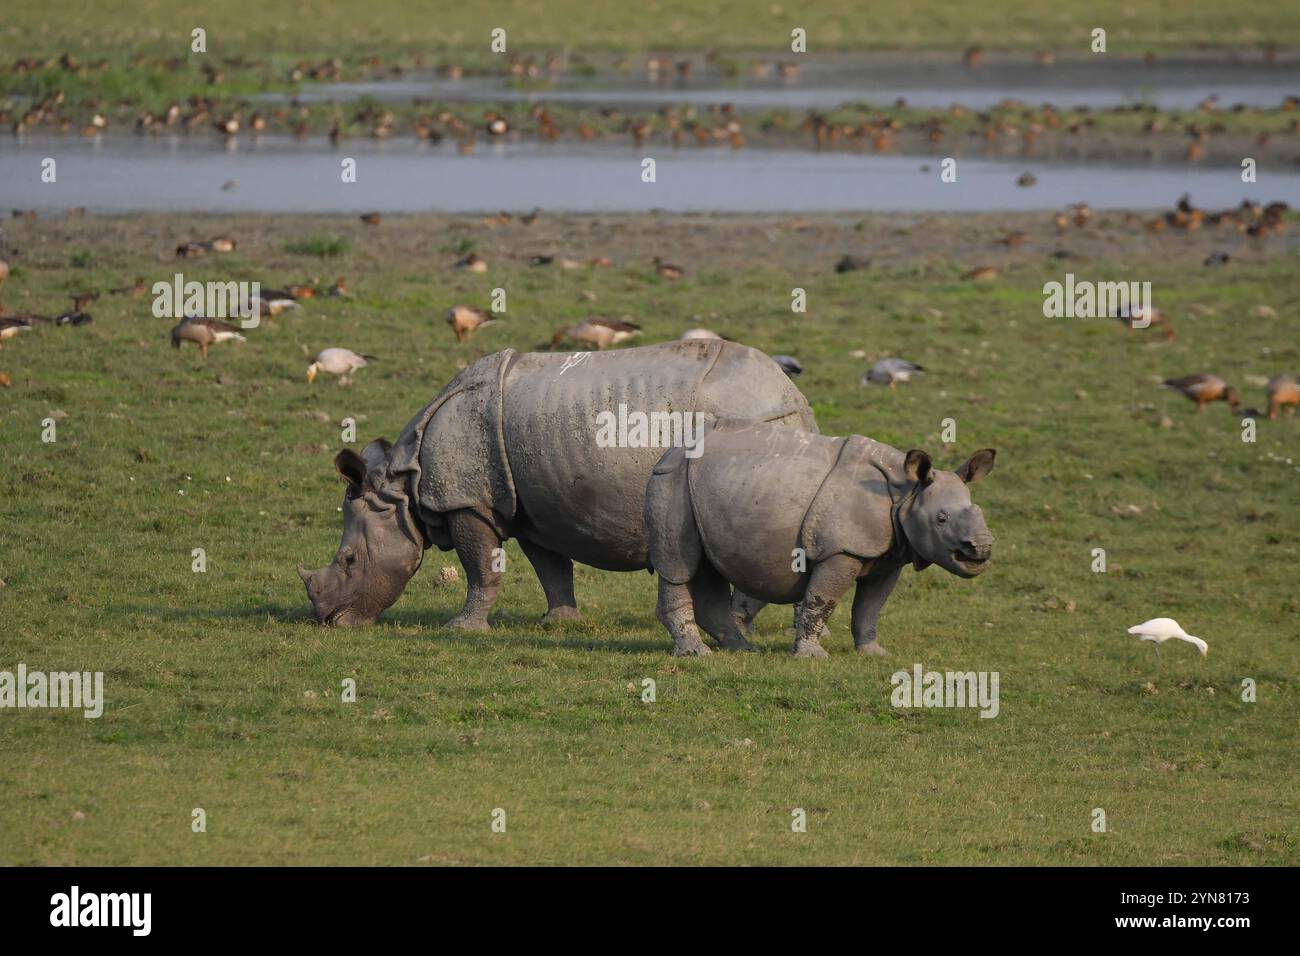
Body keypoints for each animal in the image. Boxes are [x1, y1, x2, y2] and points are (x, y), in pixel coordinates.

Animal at [299, 340, 816, 632]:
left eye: (349, 561)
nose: (327, 622)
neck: (403, 484)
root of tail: (792, 397)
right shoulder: (531, 506)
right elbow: (551, 568)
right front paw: (559, 623)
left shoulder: (467, 502)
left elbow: (480, 569)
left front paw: (460, 629)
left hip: (748, 426)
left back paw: (740, 623)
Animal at [644, 424, 998, 658]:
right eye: (941, 520)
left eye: (980, 512)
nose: (979, 549)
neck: (906, 493)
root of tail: (670, 449)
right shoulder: (840, 550)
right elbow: (822, 600)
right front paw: (812, 657)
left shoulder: (890, 554)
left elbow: (871, 606)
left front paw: (874, 653)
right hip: (672, 478)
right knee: (679, 566)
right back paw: (696, 654)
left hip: (707, 487)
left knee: (708, 567)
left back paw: (742, 649)